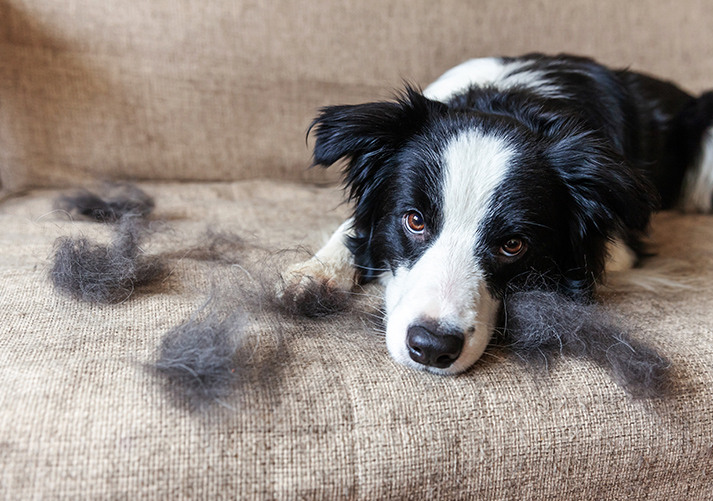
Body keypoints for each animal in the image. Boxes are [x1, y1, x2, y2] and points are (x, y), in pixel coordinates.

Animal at [284, 55, 712, 376]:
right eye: (414, 221)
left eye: (513, 245)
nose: (432, 347)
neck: (506, 101)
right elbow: (352, 229)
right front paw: (316, 272)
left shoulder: (620, 247)